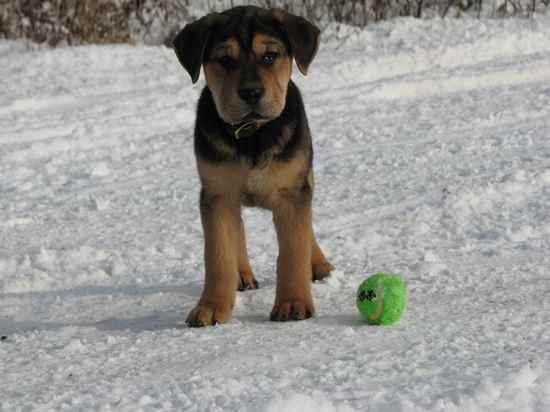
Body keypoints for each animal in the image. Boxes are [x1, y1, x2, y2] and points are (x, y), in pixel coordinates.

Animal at [175, 5, 334, 328]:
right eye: (225, 59)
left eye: (270, 56)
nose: (250, 93)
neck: (252, 134)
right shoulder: (217, 194)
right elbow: (219, 254)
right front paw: (212, 307)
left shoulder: (291, 191)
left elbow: (293, 250)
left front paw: (293, 302)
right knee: (237, 232)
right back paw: (242, 275)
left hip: (305, 176)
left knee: (307, 228)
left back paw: (319, 264)